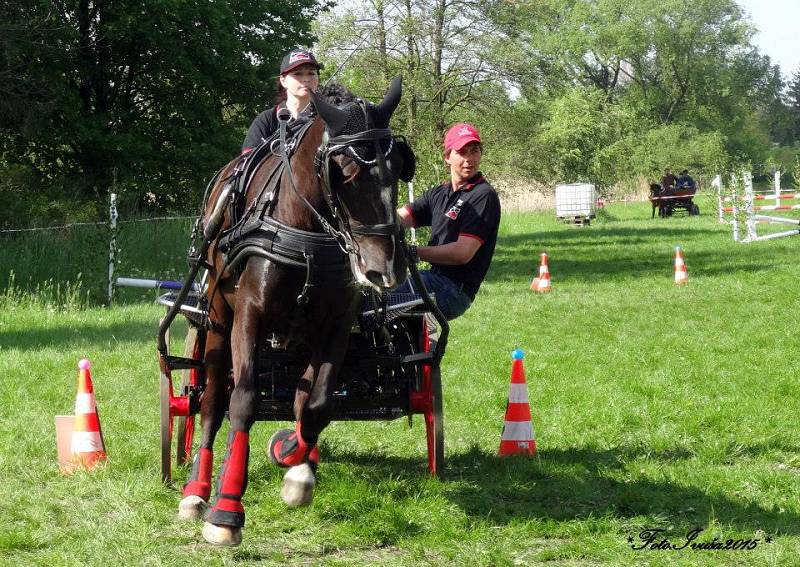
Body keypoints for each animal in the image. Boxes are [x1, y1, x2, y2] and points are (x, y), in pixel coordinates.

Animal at [176, 79, 412, 544]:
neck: (306, 230)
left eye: (398, 168)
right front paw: (226, 512)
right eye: (345, 171)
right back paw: (198, 491)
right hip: (218, 321)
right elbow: (243, 401)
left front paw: (294, 462)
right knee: (211, 401)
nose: (381, 269)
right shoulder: (249, 317)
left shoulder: (334, 327)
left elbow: (316, 404)